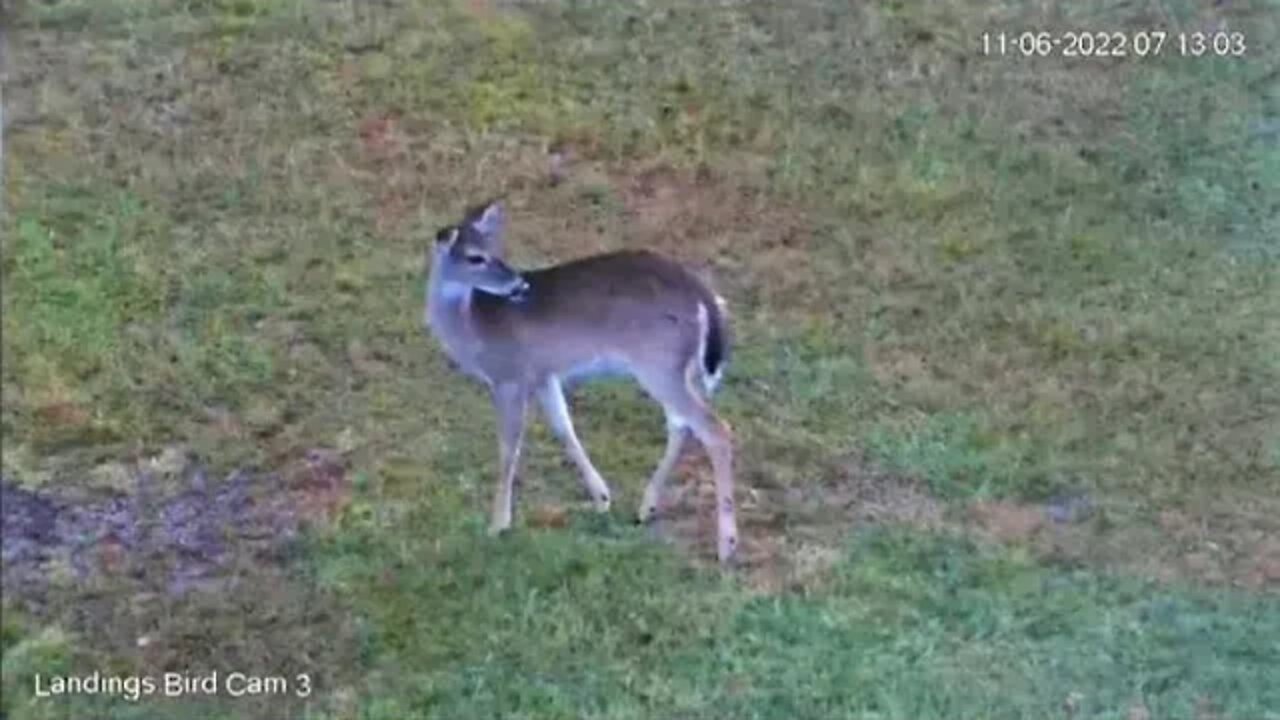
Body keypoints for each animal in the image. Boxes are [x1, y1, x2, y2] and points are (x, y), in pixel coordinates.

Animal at [419, 198, 742, 563]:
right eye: (476, 256)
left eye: (494, 250)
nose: (519, 285)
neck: (473, 325)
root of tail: (704, 297)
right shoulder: (543, 374)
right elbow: (564, 427)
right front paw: (602, 498)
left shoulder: (509, 375)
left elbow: (508, 447)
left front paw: (498, 525)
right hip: (678, 368)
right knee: (681, 424)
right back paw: (646, 508)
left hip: (658, 363)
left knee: (714, 428)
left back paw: (726, 545)